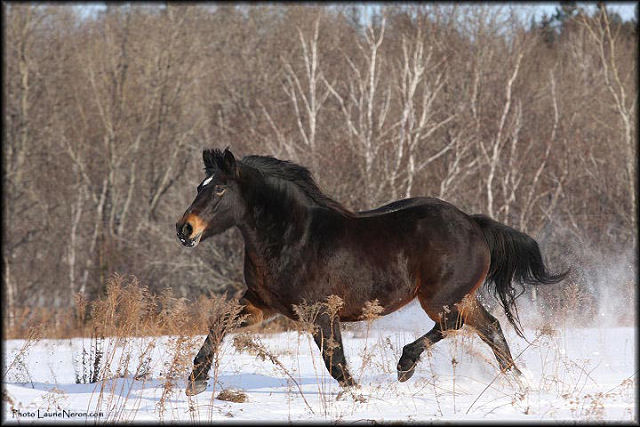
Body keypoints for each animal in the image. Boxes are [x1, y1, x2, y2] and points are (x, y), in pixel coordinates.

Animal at [176, 147, 568, 396]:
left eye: (220, 189)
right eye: (199, 187)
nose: (184, 229)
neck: (293, 237)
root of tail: (473, 223)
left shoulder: (321, 312)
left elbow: (334, 360)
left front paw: (354, 394)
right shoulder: (261, 303)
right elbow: (219, 323)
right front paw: (195, 381)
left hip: (441, 298)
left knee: (455, 325)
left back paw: (406, 365)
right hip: (459, 297)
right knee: (491, 328)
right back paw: (519, 382)